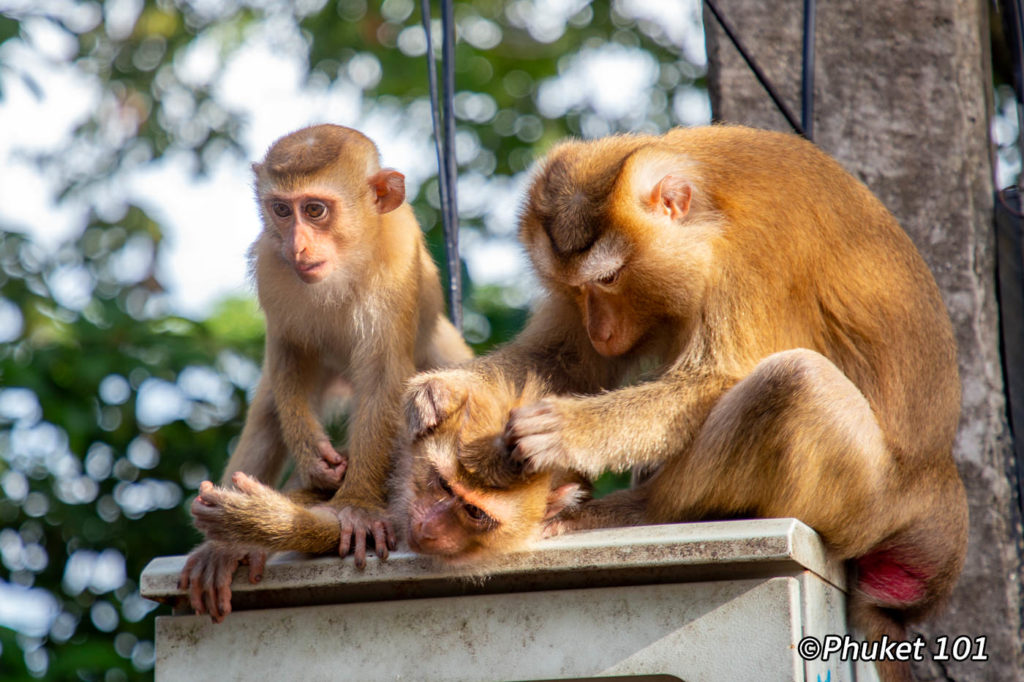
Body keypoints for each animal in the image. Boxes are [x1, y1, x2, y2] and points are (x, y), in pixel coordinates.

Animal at [179, 122, 471, 622]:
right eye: (281, 210)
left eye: (315, 210)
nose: (298, 245)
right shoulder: (271, 266)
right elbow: (289, 357)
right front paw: (313, 460)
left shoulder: (396, 263)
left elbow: (382, 377)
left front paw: (355, 507)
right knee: (270, 410)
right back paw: (222, 547)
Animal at [405, 123, 966, 679]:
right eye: (575, 289)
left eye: (609, 278)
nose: (600, 329)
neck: (710, 204)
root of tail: (939, 498)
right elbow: (564, 360)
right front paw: (444, 389)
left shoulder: (750, 254)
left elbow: (716, 378)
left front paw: (561, 430)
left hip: (868, 505)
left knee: (795, 380)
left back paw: (642, 510)